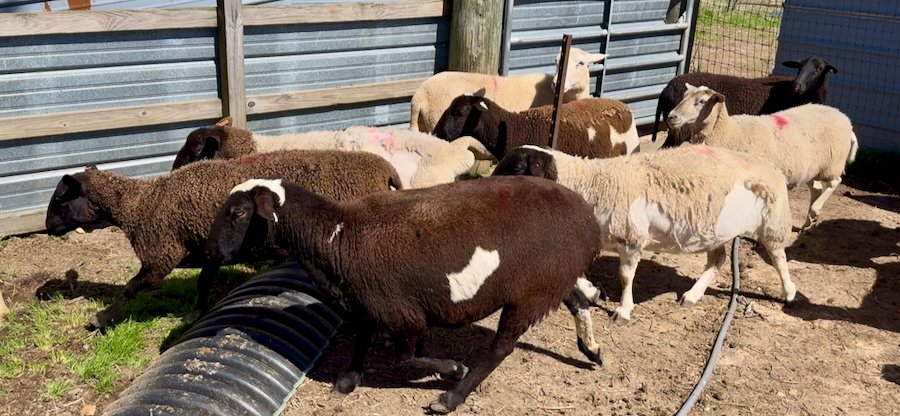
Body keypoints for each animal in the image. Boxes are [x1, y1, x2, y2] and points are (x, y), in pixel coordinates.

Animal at [44, 150, 401, 328]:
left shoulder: (161, 255)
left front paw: (102, 318)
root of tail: (387, 170)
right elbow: (203, 282)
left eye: (60, 199)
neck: (140, 204)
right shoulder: (208, 249)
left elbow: (132, 288)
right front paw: (197, 313)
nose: (47, 227)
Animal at [205, 176, 605, 414]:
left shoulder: (400, 312)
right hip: (552, 278)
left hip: (531, 290)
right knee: (578, 300)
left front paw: (452, 368)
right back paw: (591, 350)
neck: (337, 236)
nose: (211, 254)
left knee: (502, 347)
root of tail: (587, 216)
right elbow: (363, 339)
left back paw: (453, 396)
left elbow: (403, 357)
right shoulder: (365, 303)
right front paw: (348, 380)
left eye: (238, 212)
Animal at [492, 144, 797, 323]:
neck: (592, 182)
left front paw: (623, 311)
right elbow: (577, 273)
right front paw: (593, 292)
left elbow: (625, 277)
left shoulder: (631, 239)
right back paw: (692, 295)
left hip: (773, 222)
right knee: (718, 260)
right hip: (715, 231)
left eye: (518, 168)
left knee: (778, 257)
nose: (488, 185)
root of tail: (769, 165)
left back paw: (789, 292)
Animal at [667, 84, 858, 230]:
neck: (731, 132)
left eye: (701, 102)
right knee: (817, 189)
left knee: (835, 182)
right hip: (811, 168)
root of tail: (845, 118)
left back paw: (815, 211)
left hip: (832, 164)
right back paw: (808, 222)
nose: (671, 117)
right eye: (683, 97)